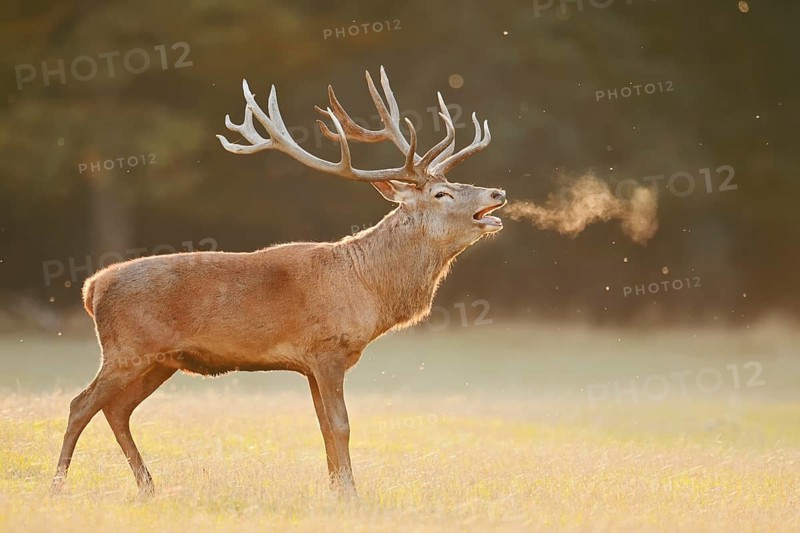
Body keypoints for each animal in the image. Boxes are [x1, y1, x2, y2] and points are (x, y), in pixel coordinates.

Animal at [50, 67, 506, 497]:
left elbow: (323, 427)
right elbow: (341, 425)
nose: (497, 193)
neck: (367, 287)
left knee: (117, 410)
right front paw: (351, 495)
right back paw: (58, 484)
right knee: (80, 404)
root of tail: (93, 287)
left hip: (159, 360)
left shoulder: (309, 363)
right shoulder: (326, 349)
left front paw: (335, 489)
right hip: (127, 348)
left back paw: (147, 485)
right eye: (442, 194)